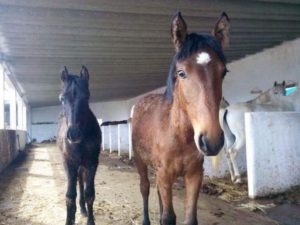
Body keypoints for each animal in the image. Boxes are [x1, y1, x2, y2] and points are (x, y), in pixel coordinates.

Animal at [56, 66, 101, 225]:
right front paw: (69, 220)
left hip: (82, 165)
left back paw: (82, 208)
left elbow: (89, 194)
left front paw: (90, 220)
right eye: (62, 98)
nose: (74, 134)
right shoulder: (68, 162)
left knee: (81, 183)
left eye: (87, 97)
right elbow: (70, 195)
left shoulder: (92, 163)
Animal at [132, 12, 230, 225]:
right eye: (181, 72)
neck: (179, 135)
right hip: (141, 161)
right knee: (145, 188)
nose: (212, 141)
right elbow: (169, 218)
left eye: (224, 72)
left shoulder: (194, 175)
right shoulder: (164, 174)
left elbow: (189, 218)